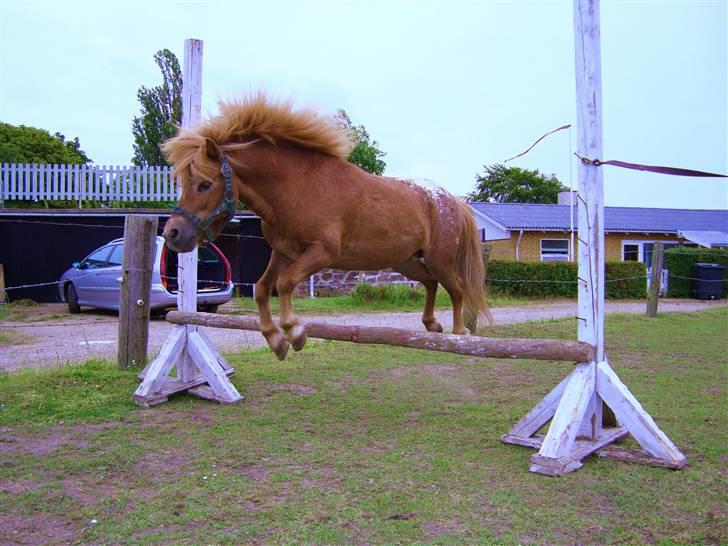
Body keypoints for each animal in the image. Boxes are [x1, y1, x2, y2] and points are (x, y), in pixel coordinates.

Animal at [162, 95, 486, 360]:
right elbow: (263, 289)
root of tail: (451, 200)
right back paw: (431, 324)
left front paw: (294, 332)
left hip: (439, 260)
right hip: (406, 261)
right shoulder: (283, 253)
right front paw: (276, 341)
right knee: (431, 283)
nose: (172, 233)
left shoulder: (322, 252)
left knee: (456, 290)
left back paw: (460, 332)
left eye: (204, 184)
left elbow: (285, 283)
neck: (299, 187)